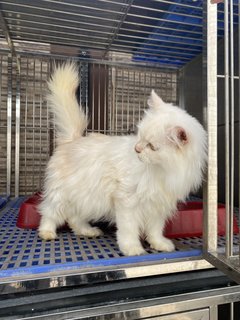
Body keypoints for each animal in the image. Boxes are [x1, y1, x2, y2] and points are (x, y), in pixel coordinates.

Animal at [38, 63, 207, 256]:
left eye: (151, 146)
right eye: (140, 136)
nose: (137, 149)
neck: (161, 171)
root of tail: (72, 139)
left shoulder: (158, 207)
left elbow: (155, 230)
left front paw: (160, 244)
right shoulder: (127, 201)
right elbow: (129, 229)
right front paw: (132, 249)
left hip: (87, 198)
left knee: (74, 218)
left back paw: (87, 231)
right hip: (60, 194)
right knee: (49, 212)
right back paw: (47, 233)